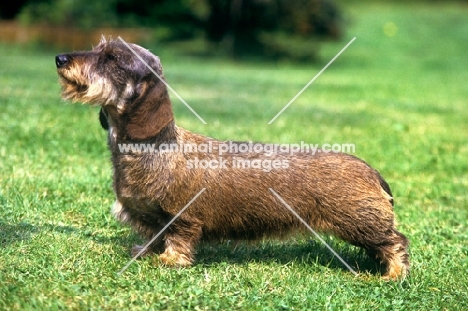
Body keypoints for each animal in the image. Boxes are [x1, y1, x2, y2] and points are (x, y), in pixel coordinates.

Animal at [55, 37, 410, 280]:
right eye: (98, 49)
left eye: (112, 58)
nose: (59, 58)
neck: (153, 148)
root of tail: (371, 171)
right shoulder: (152, 219)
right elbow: (154, 237)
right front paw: (145, 252)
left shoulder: (182, 217)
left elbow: (178, 240)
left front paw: (170, 260)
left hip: (361, 224)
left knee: (396, 242)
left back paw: (394, 274)